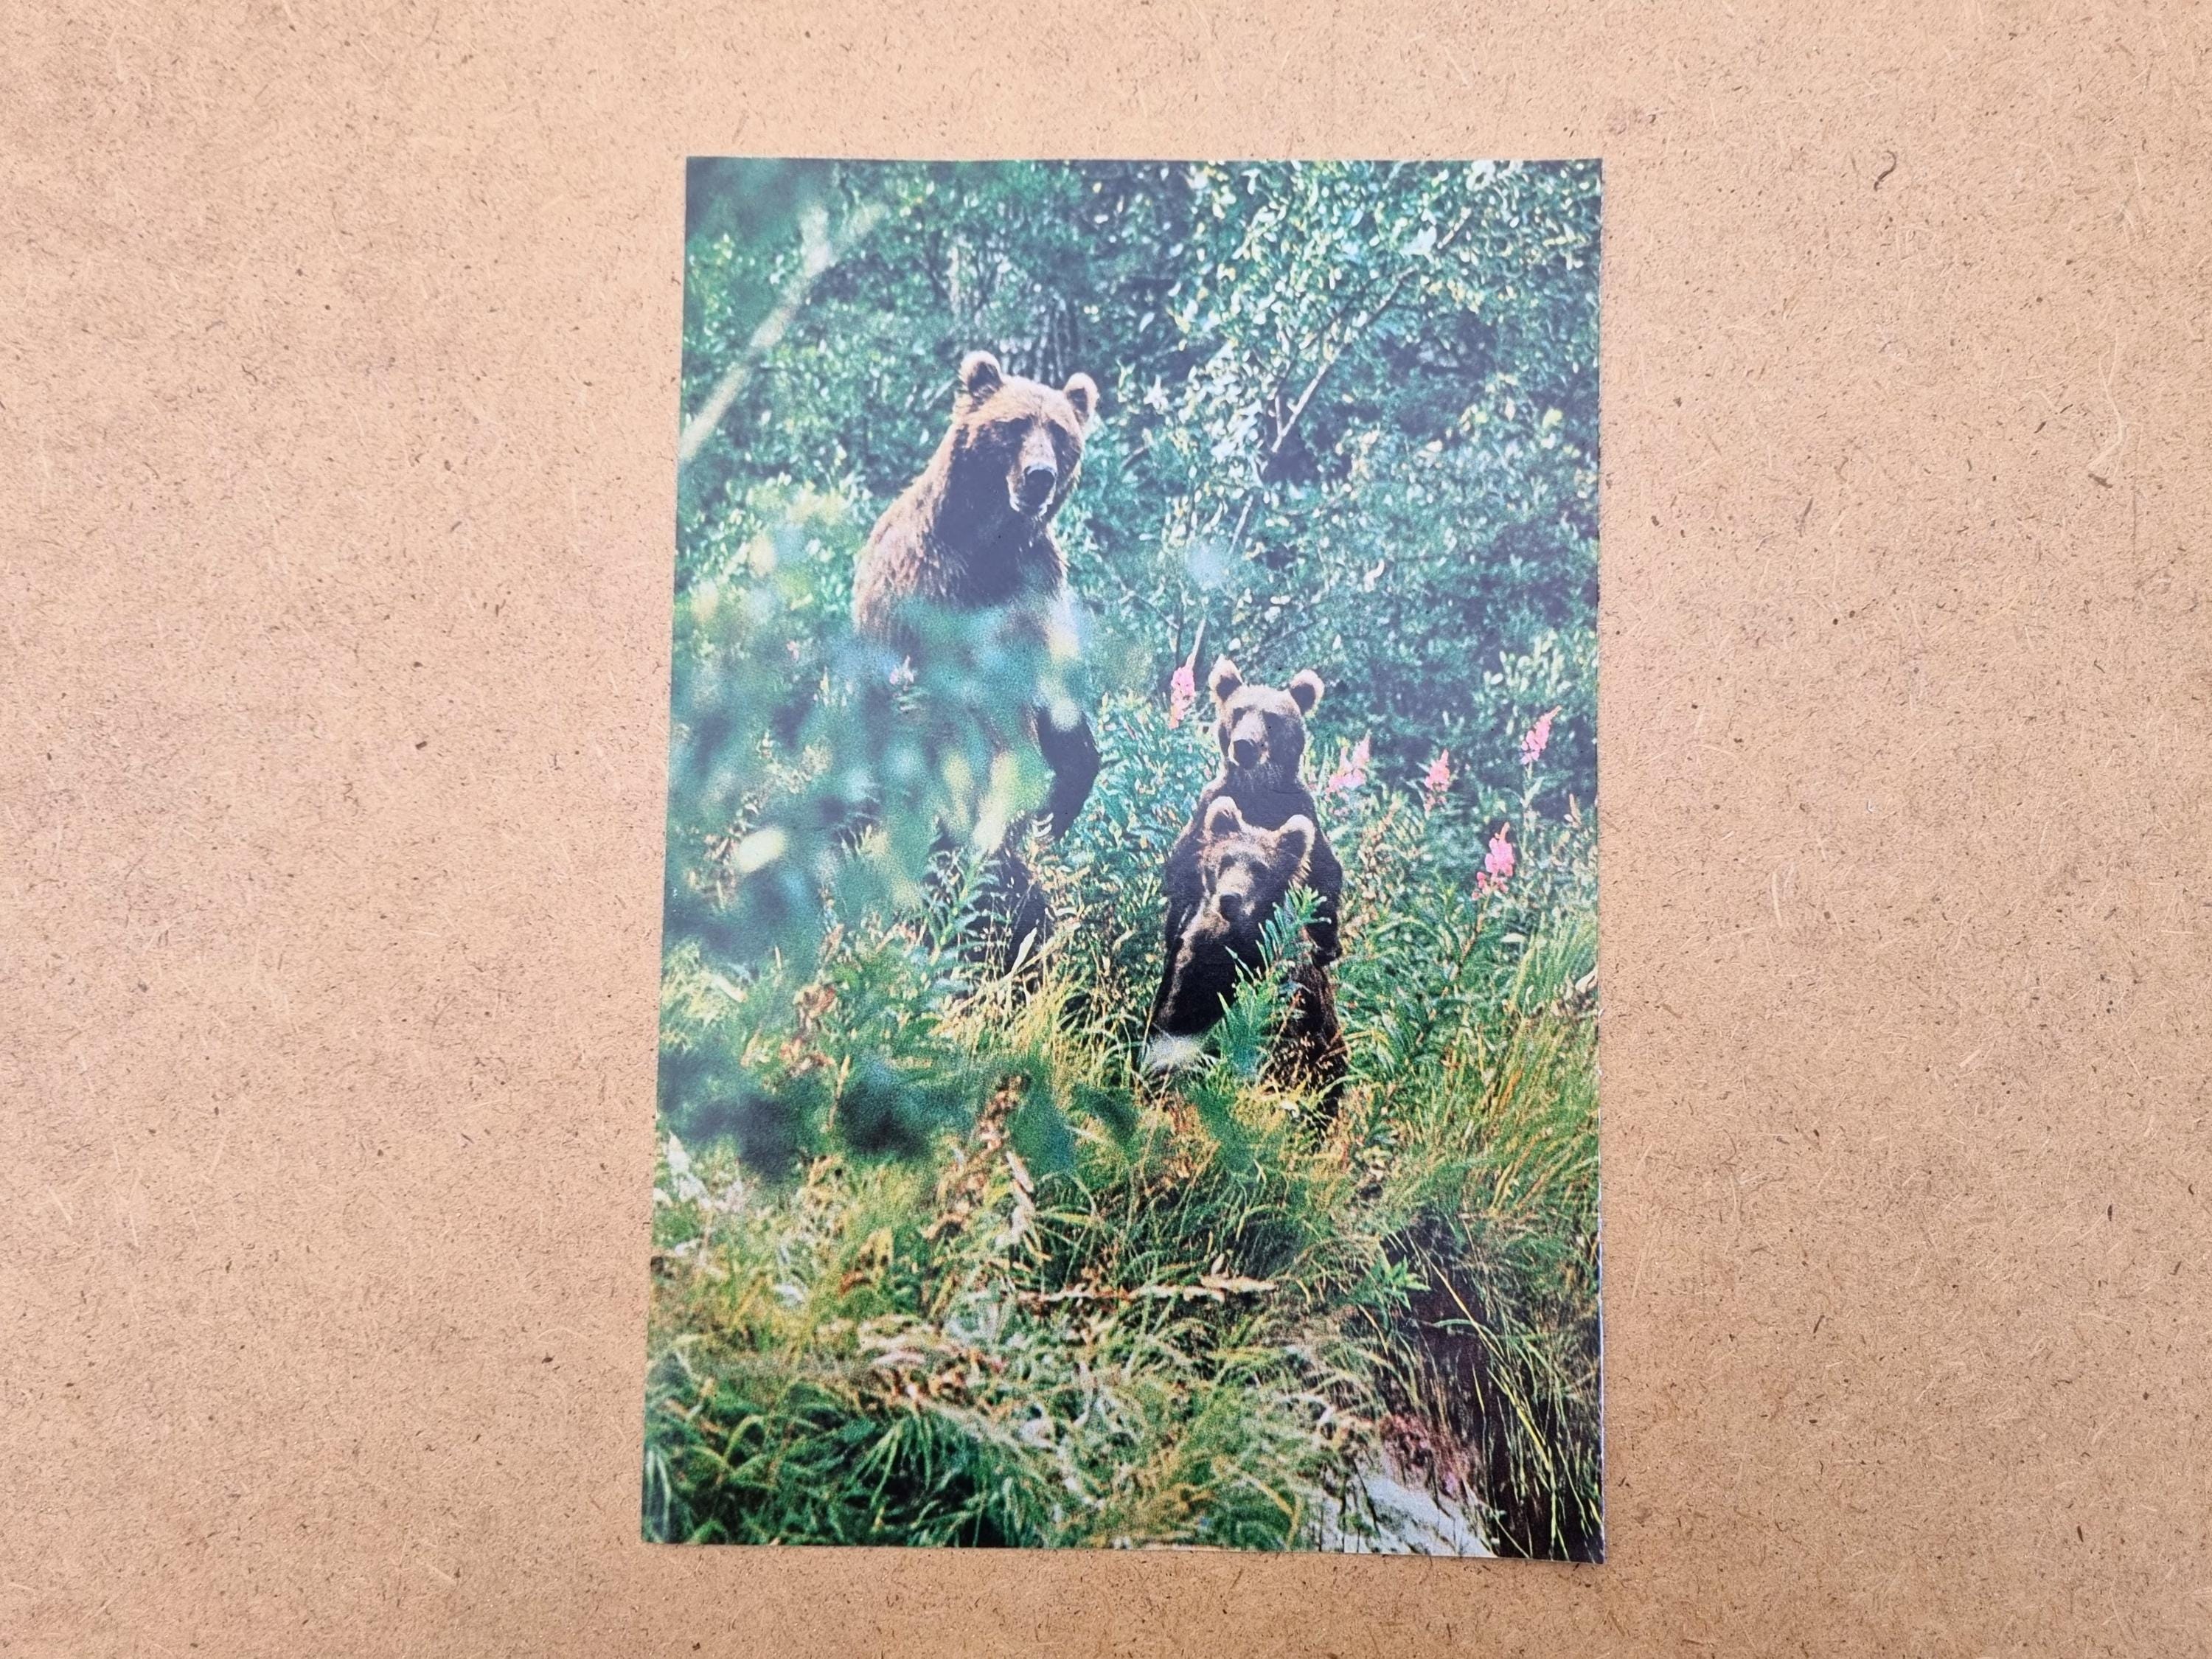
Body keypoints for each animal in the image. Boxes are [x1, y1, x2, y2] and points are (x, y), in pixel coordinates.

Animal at [852, 349, 1101, 840]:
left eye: (1059, 431)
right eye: (1016, 424)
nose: (1040, 476)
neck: (991, 543)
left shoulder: (1035, 583)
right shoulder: (936, 592)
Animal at [1143, 797, 1347, 1099]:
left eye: (1261, 869)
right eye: (1226, 859)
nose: (1229, 898)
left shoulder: (1281, 984)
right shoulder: (1198, 961)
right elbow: (1178, 1017)